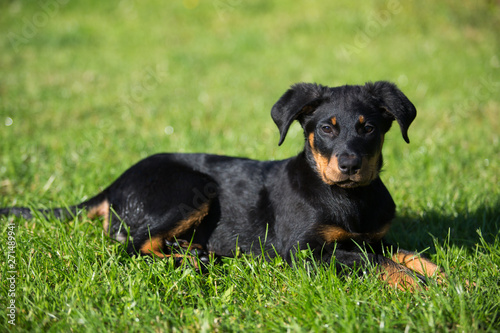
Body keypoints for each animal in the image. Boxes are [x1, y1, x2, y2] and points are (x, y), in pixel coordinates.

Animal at [1, 81, 444, 290]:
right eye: (326, 129)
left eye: (368, 128)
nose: (349, 164)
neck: (350, 197)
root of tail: (114, 184)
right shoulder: (302, 250)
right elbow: (372, 262)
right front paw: (420, 288)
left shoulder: (373, 238)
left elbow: (404, 253)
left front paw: (448, 279)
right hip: (191, 188)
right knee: (129, 249)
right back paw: (192, 260)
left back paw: (195, 253)